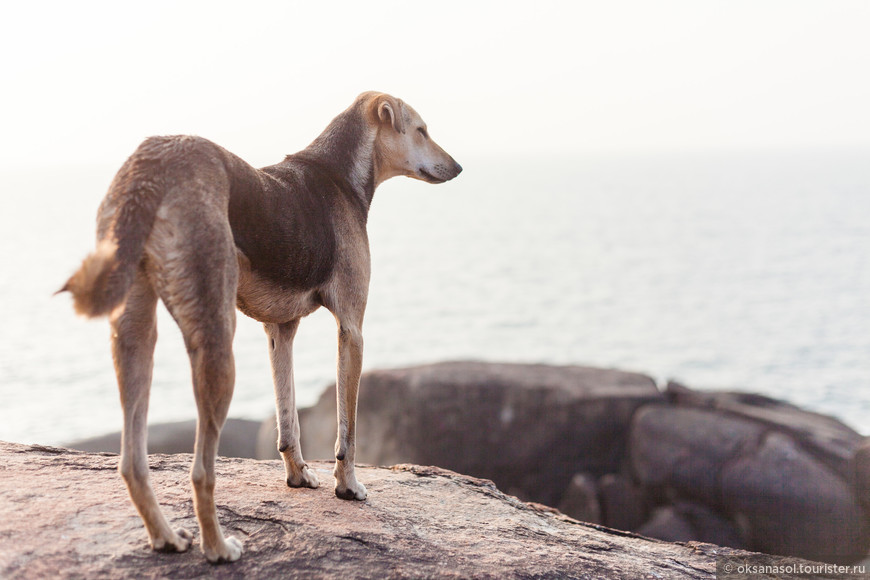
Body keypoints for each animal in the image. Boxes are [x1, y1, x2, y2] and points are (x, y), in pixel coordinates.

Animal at [61, 92, 464, 560]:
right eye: (421, 130)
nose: (458, 167)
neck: (339, 172)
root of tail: (151, 167)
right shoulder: (352, 330)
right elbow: (347, 430)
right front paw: (348, 487)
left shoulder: (280, 330)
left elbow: (287, 421)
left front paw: (298, 476)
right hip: (217, 340)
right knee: (201, 471)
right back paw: (218, 547)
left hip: (133, 337)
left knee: (131, 462)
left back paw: (165, 536)